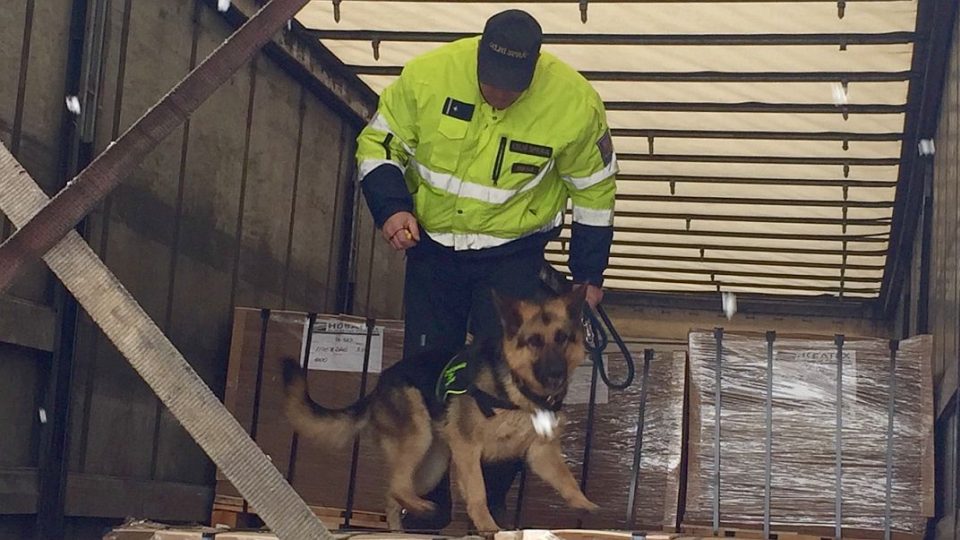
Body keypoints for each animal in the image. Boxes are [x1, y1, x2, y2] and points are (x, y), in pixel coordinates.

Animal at [282, 288, 600, 532]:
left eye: (562, 338)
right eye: (534, 341)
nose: (556, 374)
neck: (516, 389)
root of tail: (380, 383)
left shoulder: (541, 453)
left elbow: (567, 480)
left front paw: (587, 506)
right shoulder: (468, 448)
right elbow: (478, 492)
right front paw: (488, 527)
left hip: (432, 466)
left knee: (394, 492)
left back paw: (401, 528)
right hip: (418, 436)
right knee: (397, 486)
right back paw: (422, 510)